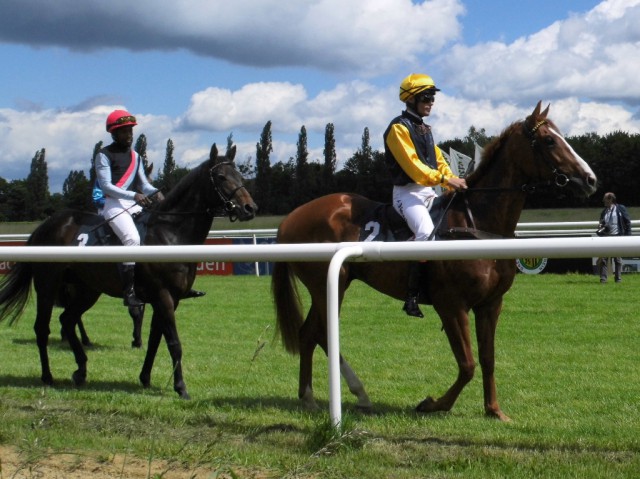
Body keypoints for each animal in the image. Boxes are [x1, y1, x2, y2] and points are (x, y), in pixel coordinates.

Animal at [0, 144, 258, 400]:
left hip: (87, 290)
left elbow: (155, 339)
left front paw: (145, 377)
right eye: (221, 176)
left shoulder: (170, 299)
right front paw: (181, 387)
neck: (170, 234)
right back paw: (47, 376)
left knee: (67, 320)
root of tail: (45, 225)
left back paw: (81, 369)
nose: (250, 208)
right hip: (48, 285)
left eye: (240, 176)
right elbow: (173, 342)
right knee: (42, 328)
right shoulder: (163, 296)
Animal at [272, 101, 596, 420]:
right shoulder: (451, 305)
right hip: (329, 285)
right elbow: (467, 365)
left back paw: (319, 397)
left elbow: (487, 358)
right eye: (549, 140)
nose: (590, 179)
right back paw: (334, 395)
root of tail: (289, 219)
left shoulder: (491, 304)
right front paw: (434, 404)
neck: (476, 223)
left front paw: (493, 409)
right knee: (319, 333)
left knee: (309, 333)